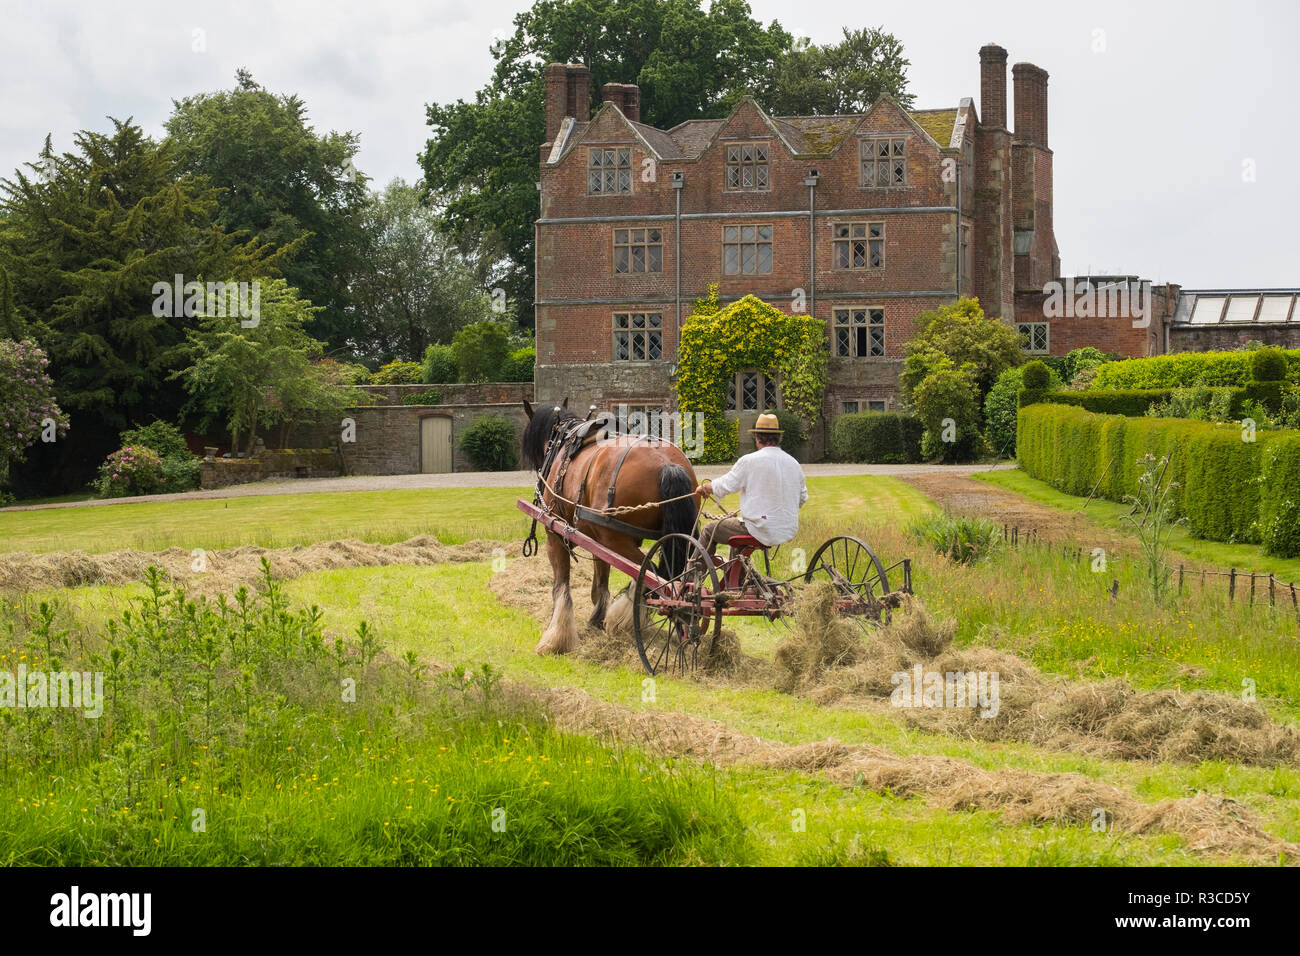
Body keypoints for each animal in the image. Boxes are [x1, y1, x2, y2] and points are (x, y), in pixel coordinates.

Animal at [520, 398, 702, 658]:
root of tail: (666, 464)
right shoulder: (598, 543)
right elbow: (600, 581)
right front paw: (597, 617)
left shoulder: (554, 534)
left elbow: (561, 587)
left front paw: (557, 638)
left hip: (616, 541)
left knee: (652, 574)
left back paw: (625, 616)